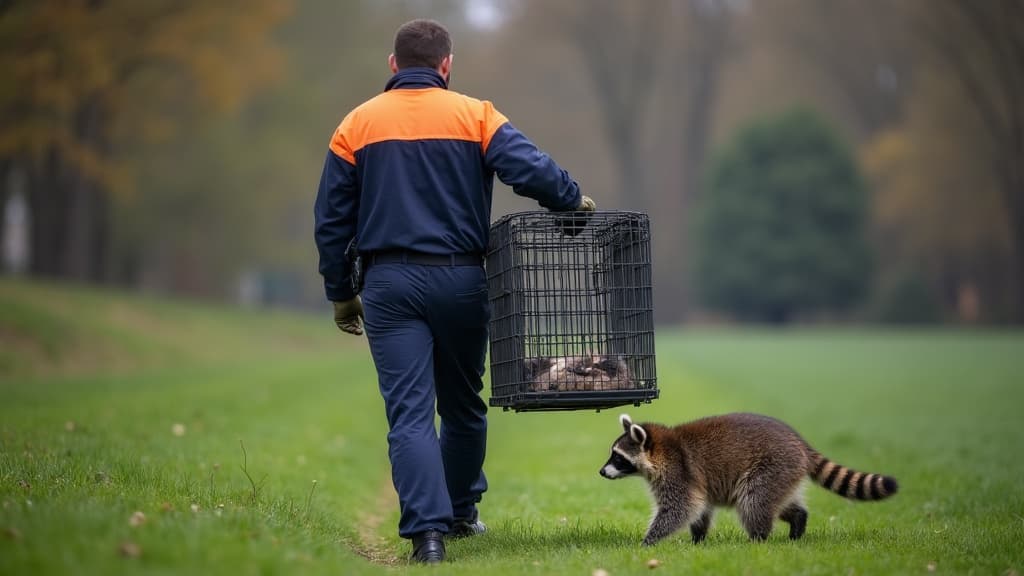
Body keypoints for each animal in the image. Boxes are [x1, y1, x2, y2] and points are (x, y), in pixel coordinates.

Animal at [600, 413, 898, 546]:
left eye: (618, 458)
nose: (602, 472)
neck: (659, 446)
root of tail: (799, 442)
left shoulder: (678, 474)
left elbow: (680, 508)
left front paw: (648, 541)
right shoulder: (694, 482)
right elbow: (700, 508)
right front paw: (698, 539)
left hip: (772, 467)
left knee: (754, 501)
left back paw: (758, 539)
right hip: (784, 474)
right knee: (778, 503)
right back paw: (797, 520)